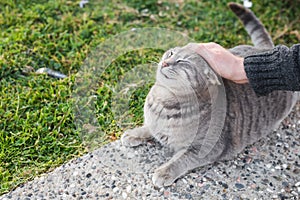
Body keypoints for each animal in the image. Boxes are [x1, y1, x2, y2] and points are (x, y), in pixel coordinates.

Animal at [120, 2, 298, 188]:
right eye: (170, 53)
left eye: (182, 61)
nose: (165, 62)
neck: (164, 102)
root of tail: (266, 49)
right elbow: (149, 128)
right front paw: (134, 133)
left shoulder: (206, 148)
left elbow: (181, 159)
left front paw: (164, 172)